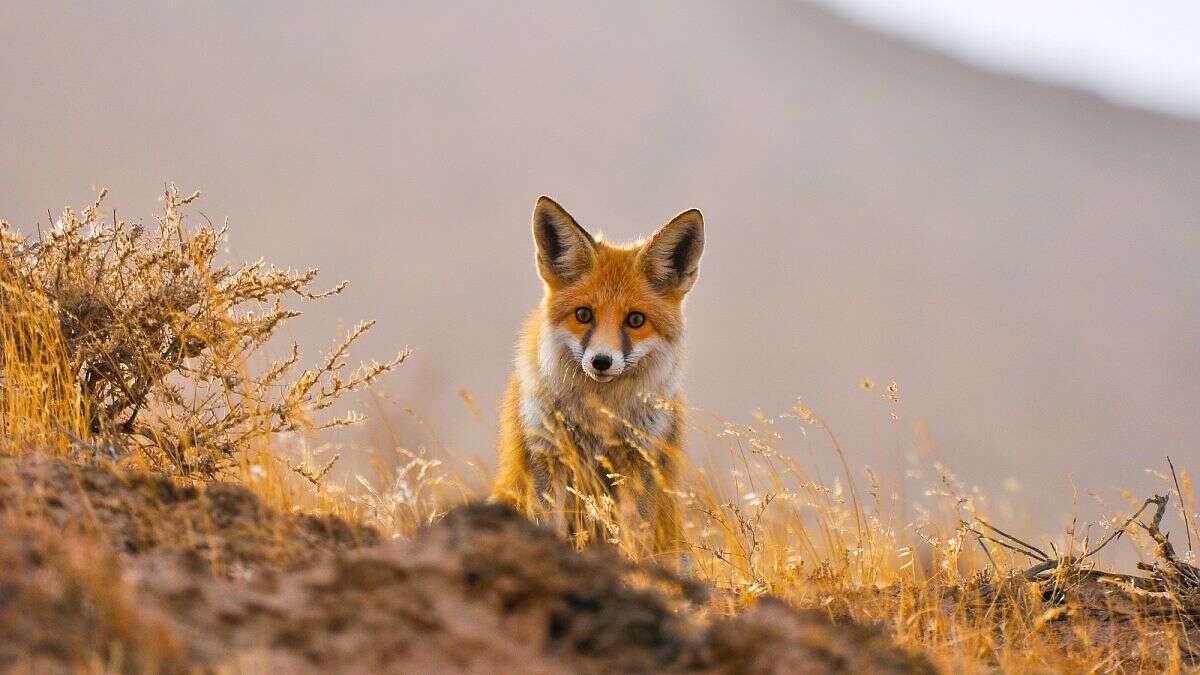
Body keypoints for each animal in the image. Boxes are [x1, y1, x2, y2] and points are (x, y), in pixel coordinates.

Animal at [494, 195, 700, 557]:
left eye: (635, 320)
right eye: (583, 314)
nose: (601, 361)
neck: (598, 417)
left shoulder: (639, 465)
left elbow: (635, 540)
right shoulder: (547, 459)